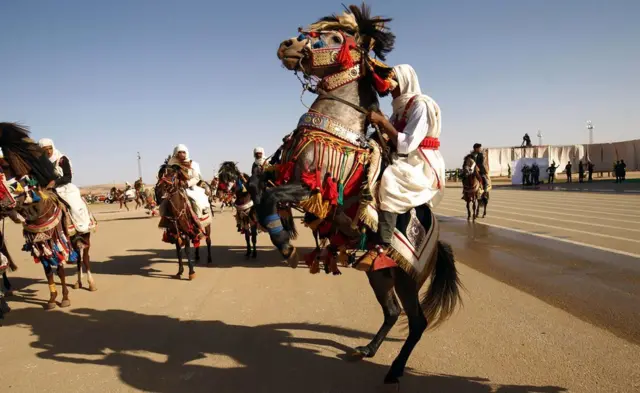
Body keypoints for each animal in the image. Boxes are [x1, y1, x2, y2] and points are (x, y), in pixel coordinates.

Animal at [0, 122, 97, 310]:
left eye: (3, 165)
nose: (3, 206)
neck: (38, 211)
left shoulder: (55, 241)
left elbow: (59, 270)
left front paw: (64, 298)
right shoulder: (41, 245)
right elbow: (48, 272)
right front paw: (52, 299)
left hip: (85, 236)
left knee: (86, 259)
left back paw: (90, 283)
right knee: (79, 259)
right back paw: (78, 282)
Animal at [248, 5, 462, 386]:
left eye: (335, 37)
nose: (287, 45)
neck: (338, 127)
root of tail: (438, 245)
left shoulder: (313, 187)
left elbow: (272, 197)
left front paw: (285, 244)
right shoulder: (284, 172)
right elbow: (259, 185)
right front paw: (276, 229)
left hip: (407, 278)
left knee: (416, 321)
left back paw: (394, 371)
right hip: (380, 275)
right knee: (391, 312)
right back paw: (367, 350)